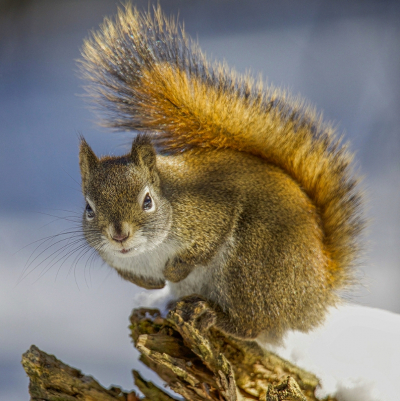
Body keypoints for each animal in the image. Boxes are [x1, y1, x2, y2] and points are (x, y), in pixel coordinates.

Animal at [76, 4, 364, 340]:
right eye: (89, 209)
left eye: (147, 201)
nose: (119, 235)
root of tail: (316, 297)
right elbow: (134, 276)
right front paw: (153, 284)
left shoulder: (210, 212)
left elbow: (202, 248)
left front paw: (173, 270)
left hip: (251, 265)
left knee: (254, 323)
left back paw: (212, 316)